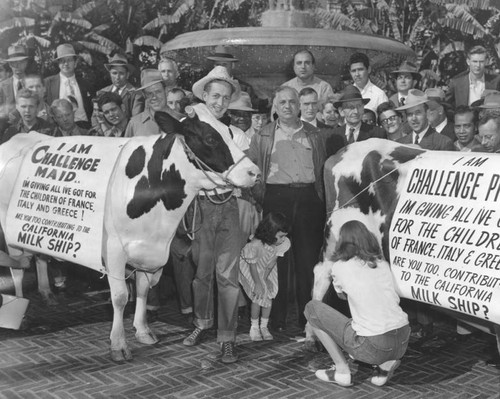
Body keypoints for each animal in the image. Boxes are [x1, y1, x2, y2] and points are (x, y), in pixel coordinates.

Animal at [0, 109, 258, 362]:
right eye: (210, 139)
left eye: (230, 133)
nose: (254, 172)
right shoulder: (114, 250)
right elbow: (120, 296)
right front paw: (119, 344)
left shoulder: (150, 251)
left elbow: (143, 289)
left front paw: (143, 331)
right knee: (17, 269)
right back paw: (19, 311)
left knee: (37, 258)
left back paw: (45, 293)